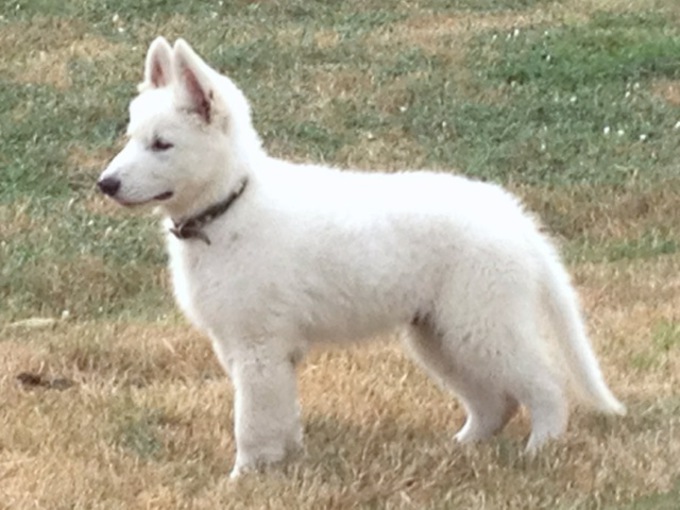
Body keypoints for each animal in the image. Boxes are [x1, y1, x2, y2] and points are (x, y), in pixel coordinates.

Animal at [98, 36, 624, 478]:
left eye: (162, 144)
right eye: (131, 137)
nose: (105, 184)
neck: (232, 202)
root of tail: (514, 216)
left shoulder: (258, 347)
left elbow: (251, 419)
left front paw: (243, 478)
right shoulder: (248, 349)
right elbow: (280, 412)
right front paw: (285, 461)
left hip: (482, 325)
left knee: (546, 386)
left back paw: (542, 449)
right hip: (438, 334)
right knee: (495, 403)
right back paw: (460, 447)